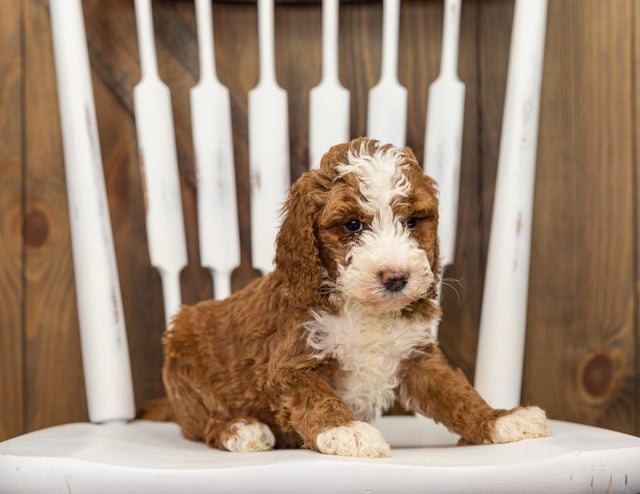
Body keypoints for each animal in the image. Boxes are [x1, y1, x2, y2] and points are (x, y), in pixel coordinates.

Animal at [151, 137, 552, 458]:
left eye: (411, 222)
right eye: (353, 225)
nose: (396, 278)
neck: (364, 310)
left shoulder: (417, 356)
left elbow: (455, 392)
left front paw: (499, 420)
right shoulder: (290, 365)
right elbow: (318, 398)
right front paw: (348, 431)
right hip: (183, 364)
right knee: (201, 422)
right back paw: (240, 429)